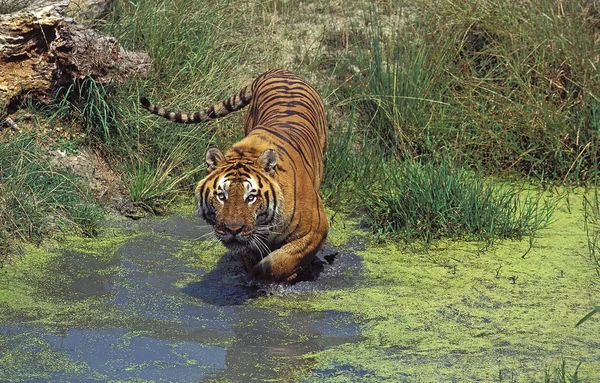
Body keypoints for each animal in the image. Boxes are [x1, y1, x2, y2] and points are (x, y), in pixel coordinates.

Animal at [140, 70, 328, 284]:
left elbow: (279, 263)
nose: (233, 230)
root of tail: (279, 71)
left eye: (251, 197)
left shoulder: (317, 230)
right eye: (222, 196)